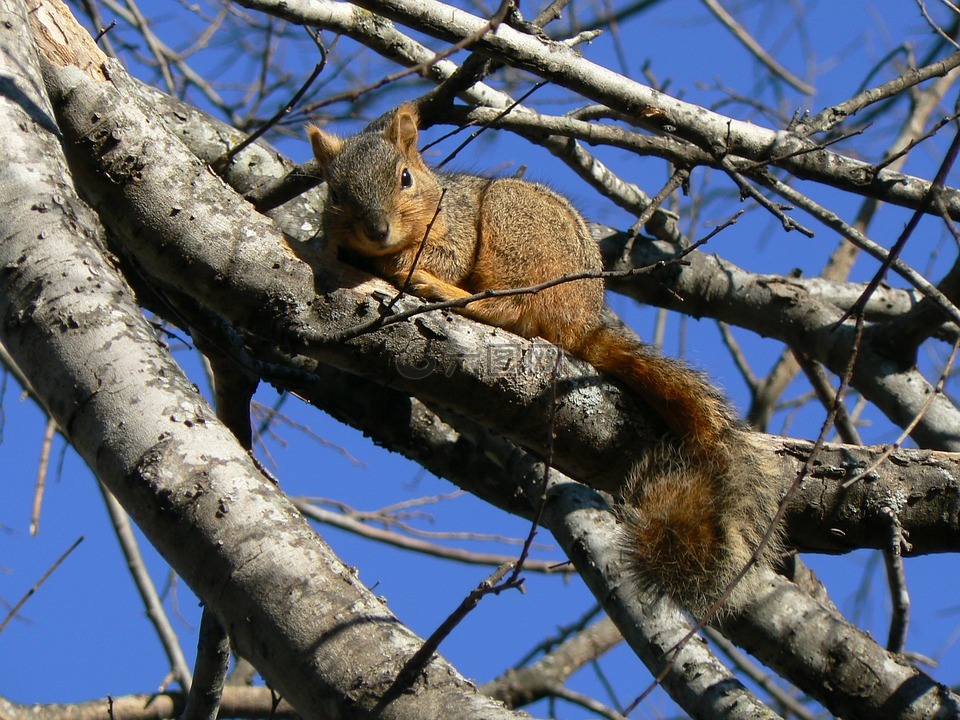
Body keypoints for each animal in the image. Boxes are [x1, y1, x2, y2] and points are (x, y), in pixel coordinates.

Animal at [308, 105, 780, 612]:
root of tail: (581, 321)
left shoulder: (456, 233)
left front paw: (397, 265)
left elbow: (442, 258)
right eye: (335, 193)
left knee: (510, 307)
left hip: (514, 231)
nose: (376, 231)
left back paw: (442, 290)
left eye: (405, 178)